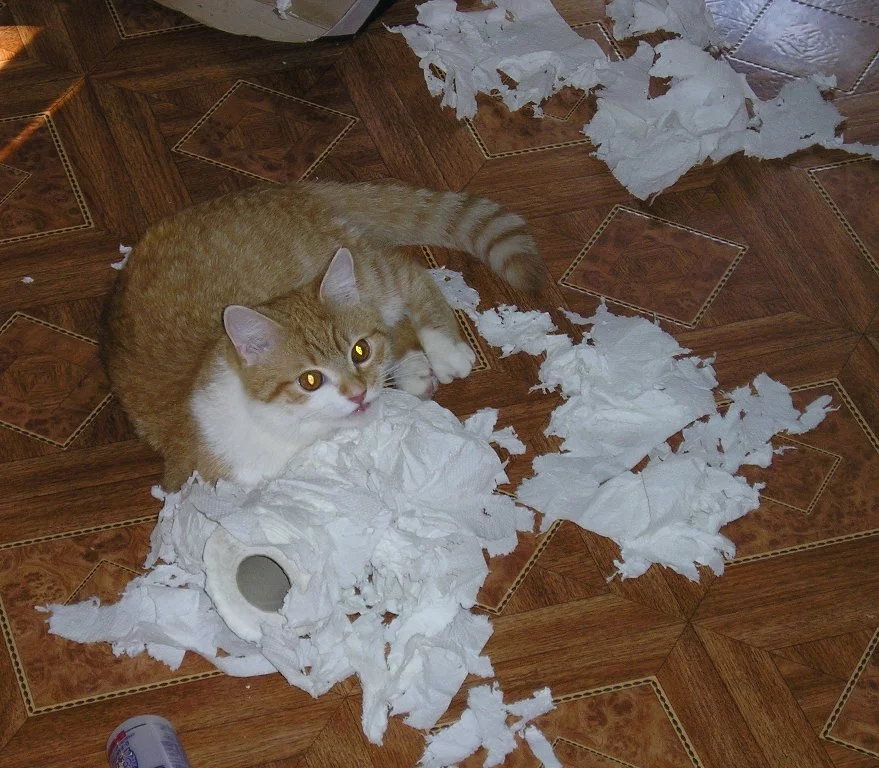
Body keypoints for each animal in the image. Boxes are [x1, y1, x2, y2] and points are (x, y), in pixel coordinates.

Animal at [102, 180, 543, 490]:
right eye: (310, 380)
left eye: (359, 351)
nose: (359, 393)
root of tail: (288, 188)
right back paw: (415, 368)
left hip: (369, 272)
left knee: (410, 275)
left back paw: (444, 349)